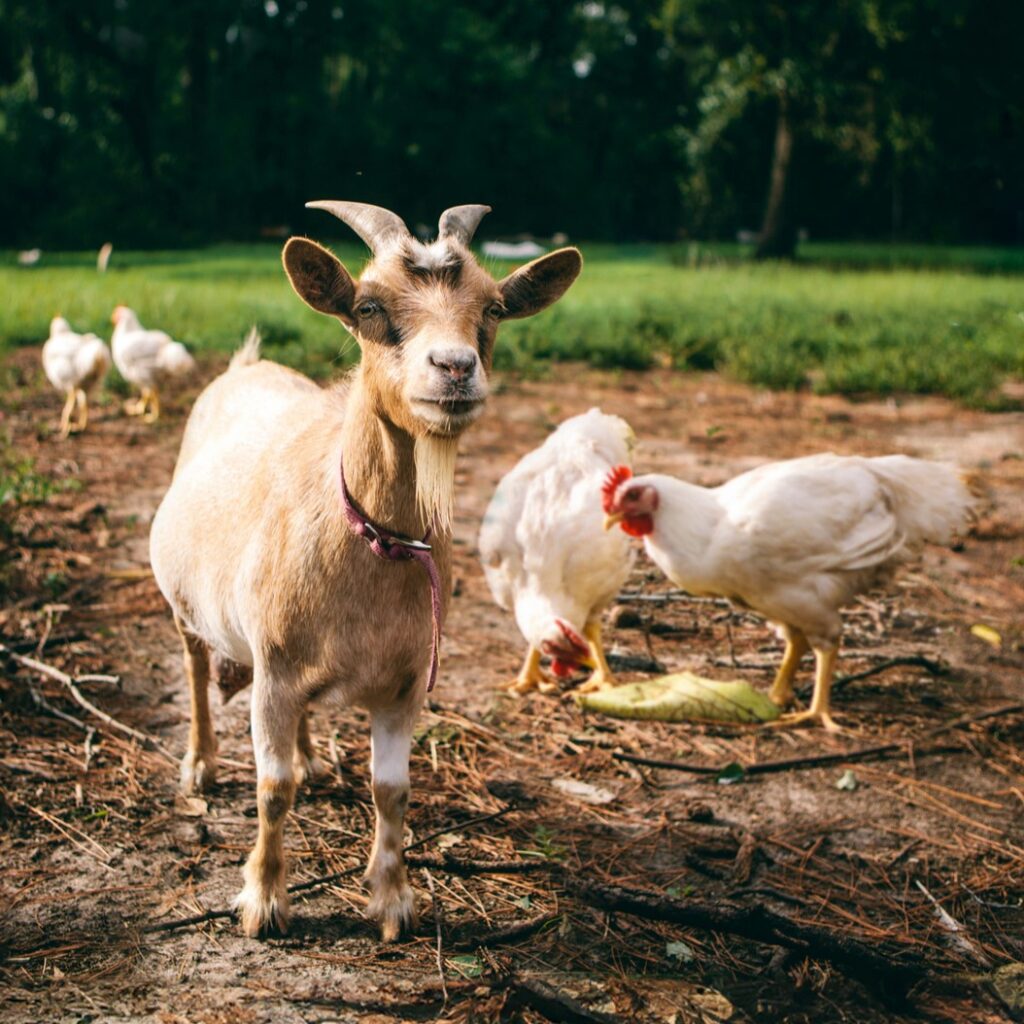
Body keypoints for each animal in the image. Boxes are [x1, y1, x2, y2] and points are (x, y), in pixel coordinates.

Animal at [149, 201, 582, 939]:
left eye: (493, 307)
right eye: (370, 307)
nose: (454, 368)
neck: (372, 542)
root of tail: (247, 364)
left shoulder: (405, 685)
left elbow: (393, 791)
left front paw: (392, 900)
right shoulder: (272, 676)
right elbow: (273, 790)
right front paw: (263, 901)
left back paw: (310, 755)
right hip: (188, 609)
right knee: (197, 671)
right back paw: (199, 766)